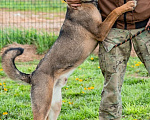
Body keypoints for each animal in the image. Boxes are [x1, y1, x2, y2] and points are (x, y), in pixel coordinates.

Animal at [1, 1, 137, 120]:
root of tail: (32, 75)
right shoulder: (100, 30)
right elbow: (114, 11)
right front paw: (128, 5)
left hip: (55, 105)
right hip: (43, 107)